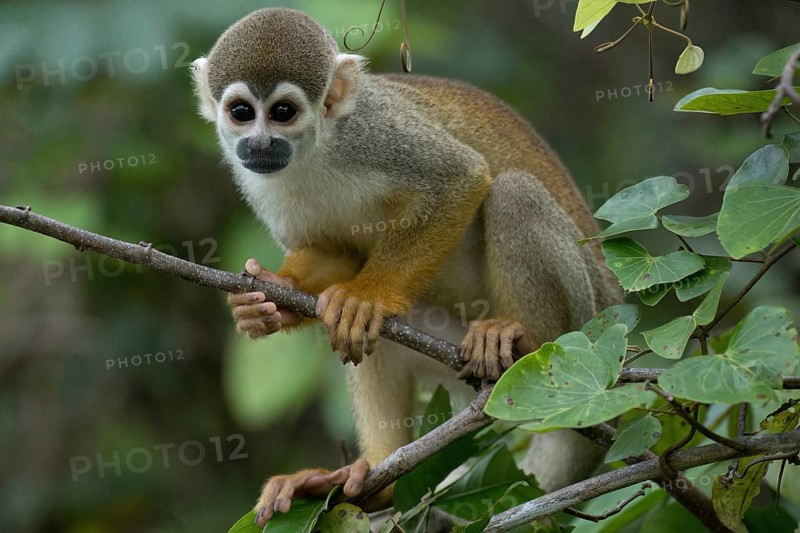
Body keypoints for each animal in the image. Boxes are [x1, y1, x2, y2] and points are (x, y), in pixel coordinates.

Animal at [191, 7, 621, 526]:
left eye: (282, 112)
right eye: (241, 112)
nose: (258, 144)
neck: (315, 149)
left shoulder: (376, 133)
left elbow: (459, 177)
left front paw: (365, 298)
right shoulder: (259, 181)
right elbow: (332, 251)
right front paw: (270, 300)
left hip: (589, 312)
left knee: (514, 192)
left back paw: (526, 342)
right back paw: (372, 483)